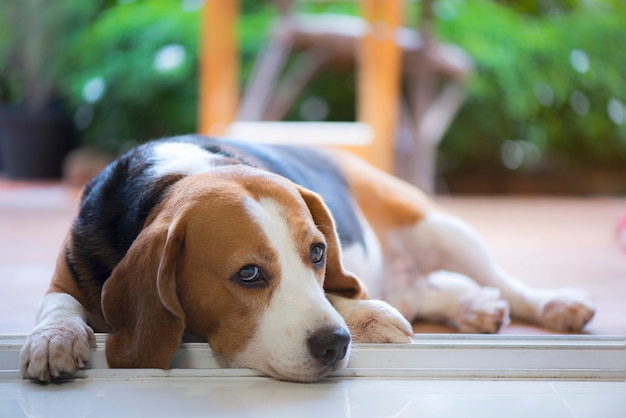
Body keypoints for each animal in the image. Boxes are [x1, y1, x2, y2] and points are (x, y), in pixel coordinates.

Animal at [20, 136, 596, 382]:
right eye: (248, 274)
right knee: (428, 290)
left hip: (439, 227)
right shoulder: (65, 278)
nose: (335, 345)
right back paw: (472, 305)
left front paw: (365, 316)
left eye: (318, 252)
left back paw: (553, 304)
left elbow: (343, 294)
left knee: (505, 280)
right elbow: (57, 307)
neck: (175, 178)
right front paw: (54, 340)